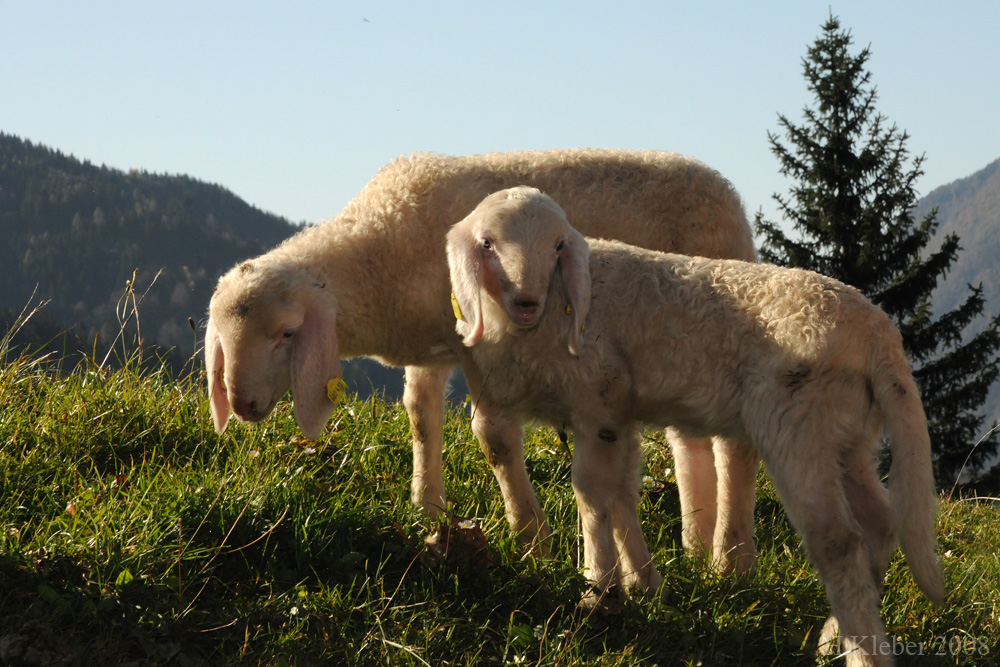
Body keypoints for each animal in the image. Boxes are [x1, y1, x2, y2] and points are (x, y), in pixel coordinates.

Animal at [209, 150, 756, 568]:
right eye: (223, 335)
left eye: (287, 333)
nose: (242, 406)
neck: (377, 247)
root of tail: (726, 189)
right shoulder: (431, 343)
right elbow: (420, 415)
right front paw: (427, 506)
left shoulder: (481, 349)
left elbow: (493, 438)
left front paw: (531, 538)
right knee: (689, 441)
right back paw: (695, 542)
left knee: (733, 447)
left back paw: (728, 559)